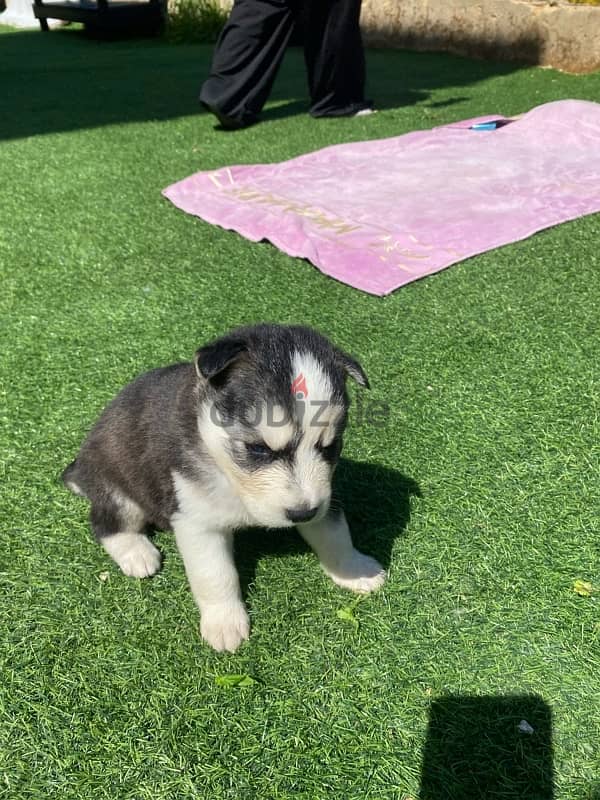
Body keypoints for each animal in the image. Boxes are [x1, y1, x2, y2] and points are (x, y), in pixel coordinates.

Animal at [63, 324, 386, 648]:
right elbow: (215, 574)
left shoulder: (325, 495)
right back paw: (136, 552)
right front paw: (224, 622)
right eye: (258, 449)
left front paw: (354, 569)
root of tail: (80, 466)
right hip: (117, 486)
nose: (302, 514)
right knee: (106, 522)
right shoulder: (196, 518)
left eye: (330, 446)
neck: (231, 477)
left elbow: (335, 534)